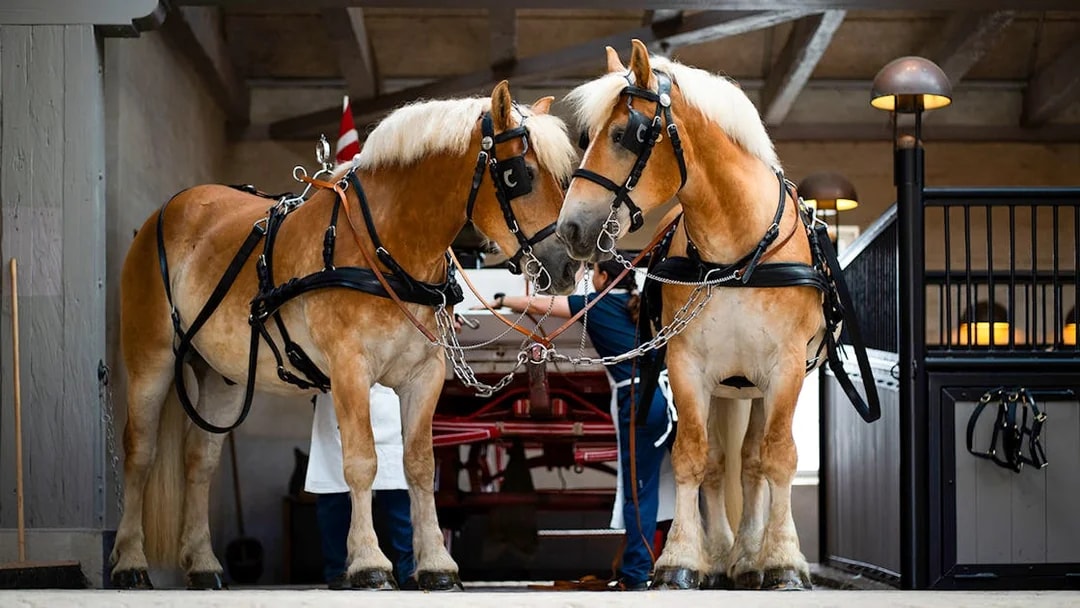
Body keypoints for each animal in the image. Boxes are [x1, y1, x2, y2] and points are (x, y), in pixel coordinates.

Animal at [110, 80, 580, 591]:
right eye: (521, 175)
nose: (569, 265)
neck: (387, 246)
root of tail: (171, 208)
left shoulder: (425, 374)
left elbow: (419, 465)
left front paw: (436, 564)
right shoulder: (350, 368)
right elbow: (361, 461)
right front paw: (369, 563)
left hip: (222, 377)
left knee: (200, 462)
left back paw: (204, 564)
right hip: (151, 359)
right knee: (140, 453)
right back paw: (129, 561)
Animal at [558, 41, 829, 590]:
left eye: (625, 135)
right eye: (586, 137)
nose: (569, 228)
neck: (737, 256)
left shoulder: (786, 368)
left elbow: (778, 457)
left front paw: (784, 559)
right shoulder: (687, 364)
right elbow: (691, 457)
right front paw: (681, 559)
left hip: (757, 385)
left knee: (753, 461)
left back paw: (751, 557)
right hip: (726, 385)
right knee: (724, 462)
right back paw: (727, 554)